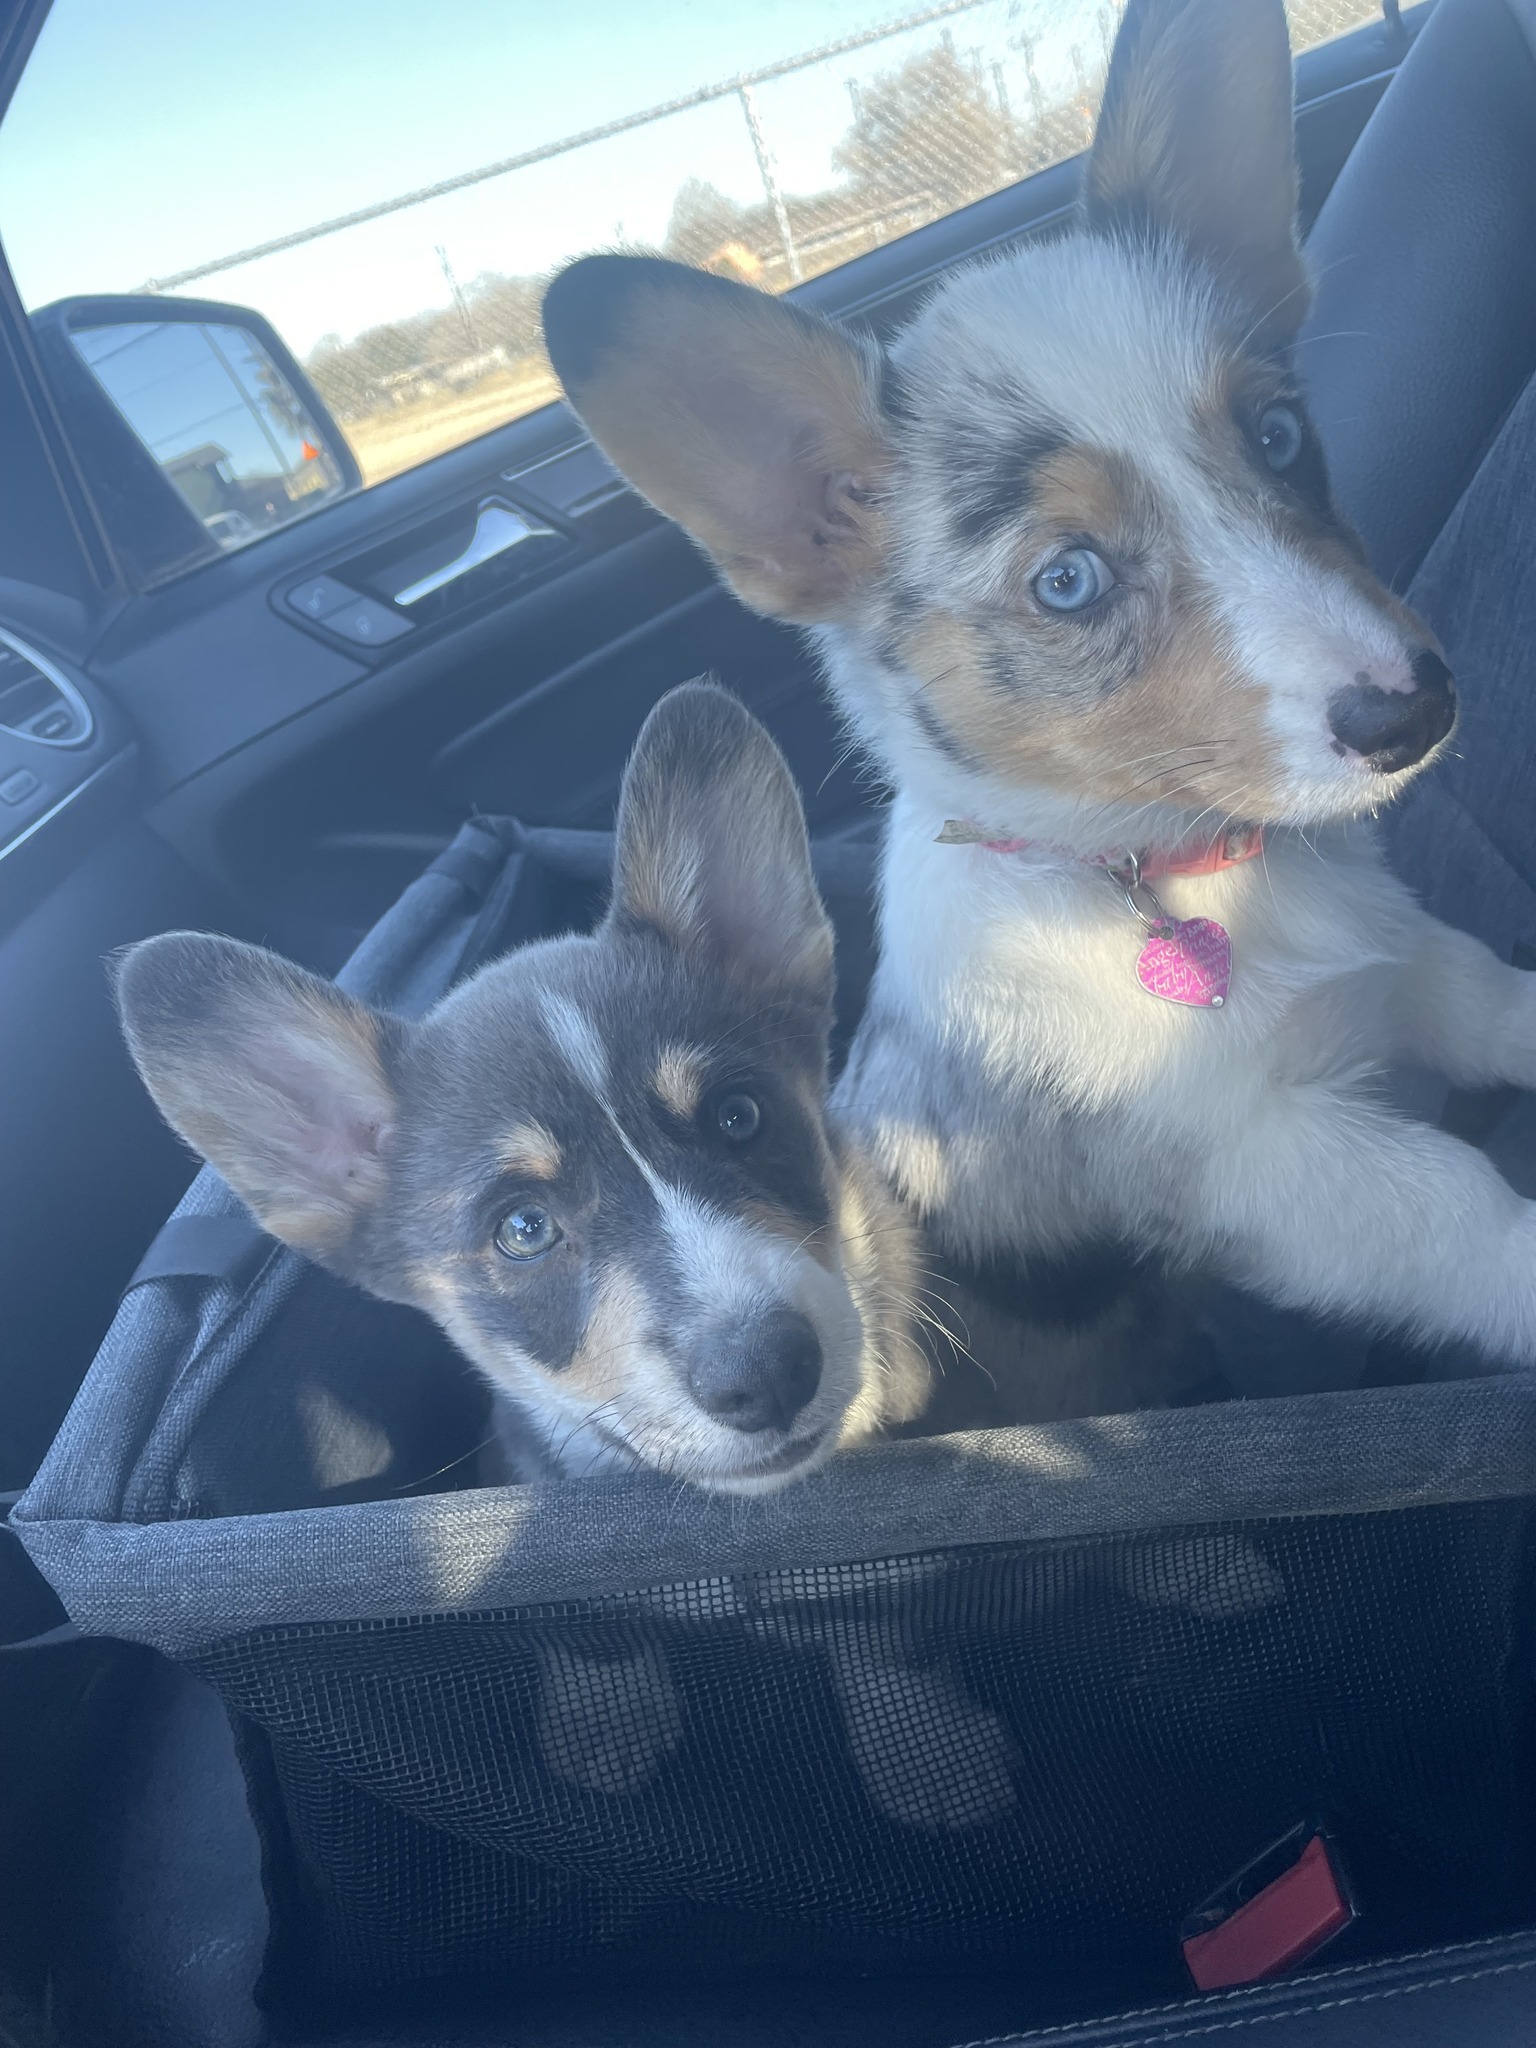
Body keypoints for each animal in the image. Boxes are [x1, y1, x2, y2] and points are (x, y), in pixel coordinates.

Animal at [541, 0, 1536, 1370]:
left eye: (1279, 436)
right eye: (1068, 581)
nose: (1418, 711)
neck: (1166, 871)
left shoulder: (1417, 968)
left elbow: (1498, 1001)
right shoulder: (1276, 1168)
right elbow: (1471, 1212)